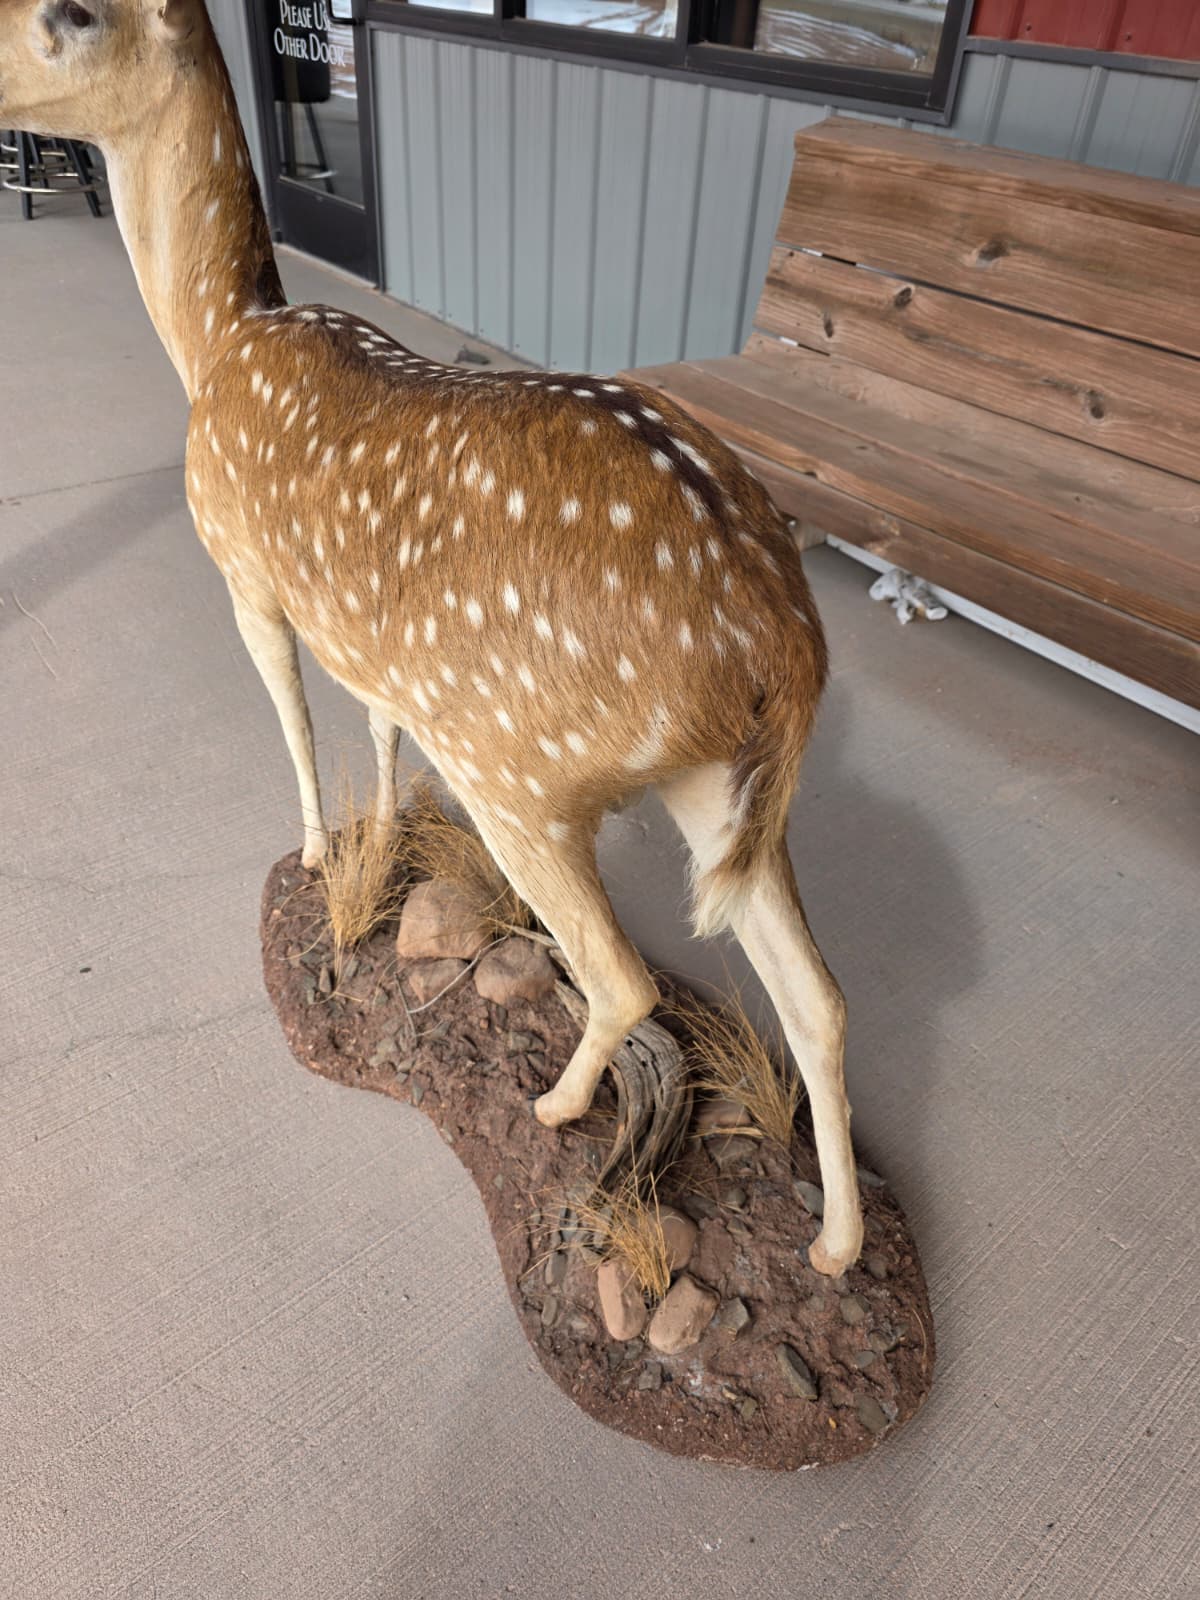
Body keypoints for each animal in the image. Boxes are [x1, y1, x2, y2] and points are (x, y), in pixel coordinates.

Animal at [0, 0, 864, 1276]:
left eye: (71, 14)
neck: (216, 341)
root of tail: (784, 645)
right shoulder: (378, 648)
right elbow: (375, 727)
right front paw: (379, 839)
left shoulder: (243, 572)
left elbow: (292, 718)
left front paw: (319, 854)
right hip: (718, 790)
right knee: (819, 997)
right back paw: (836, 1246)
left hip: (520, 768)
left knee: (625, 979)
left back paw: (555, 1106)